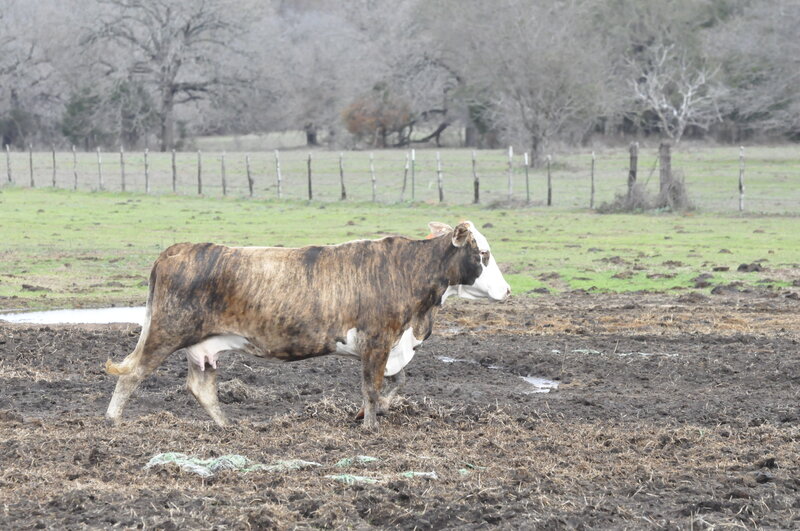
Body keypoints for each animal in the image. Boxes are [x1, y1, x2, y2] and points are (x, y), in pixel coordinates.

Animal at [104, 221, 510, 430]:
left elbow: (396, 382)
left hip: (202, 346)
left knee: (201, 387)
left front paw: (365, 415)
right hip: (165, 331)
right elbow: (372, 387)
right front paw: (370, 425)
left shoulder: (390, 346)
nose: (507, 290)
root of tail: (181, 248)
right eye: (484, 254)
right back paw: (111, 422)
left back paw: (227, 425)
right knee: (132, 373)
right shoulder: (377, 340)